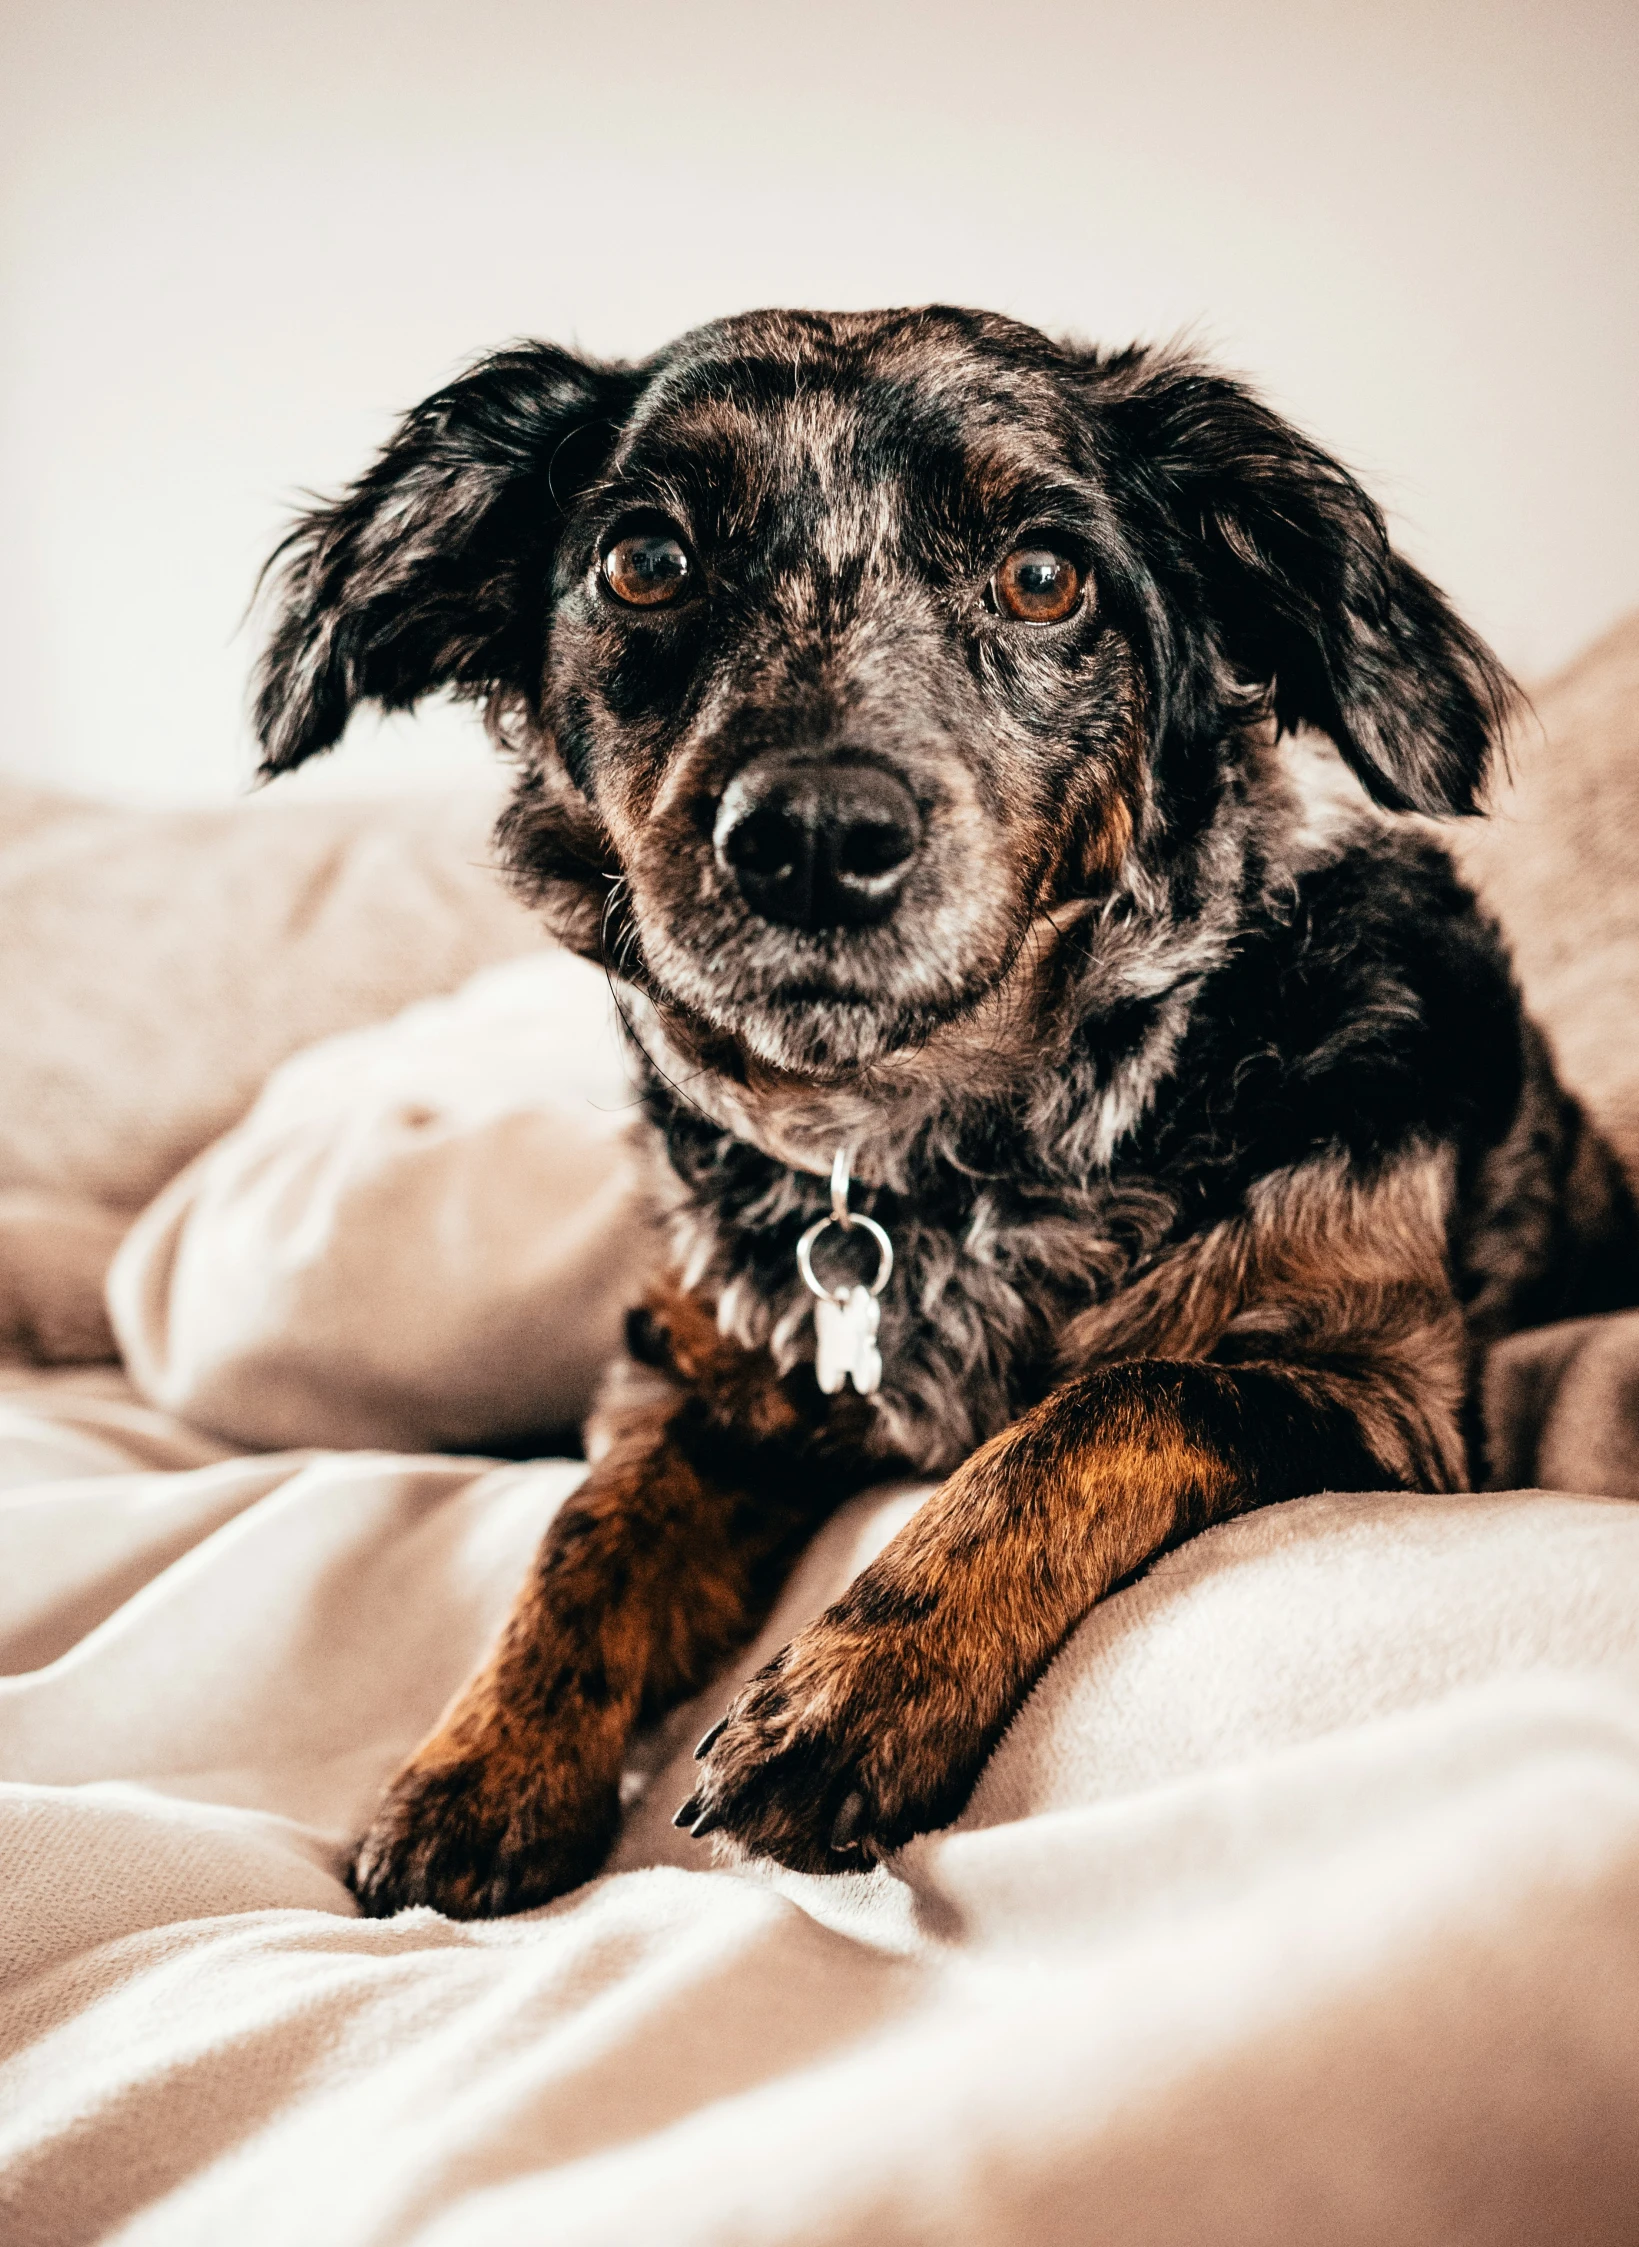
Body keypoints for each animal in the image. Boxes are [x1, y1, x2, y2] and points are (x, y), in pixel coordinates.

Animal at [252, 303, 1636, 1914]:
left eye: (1043, 575)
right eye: (644, 560)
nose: (809, 837)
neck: (932, 1153)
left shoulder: (1375, 1382)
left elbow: (1109, 1403)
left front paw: (854, 1689)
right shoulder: (704, 1380)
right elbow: (586, 1530)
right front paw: (481, 1765)